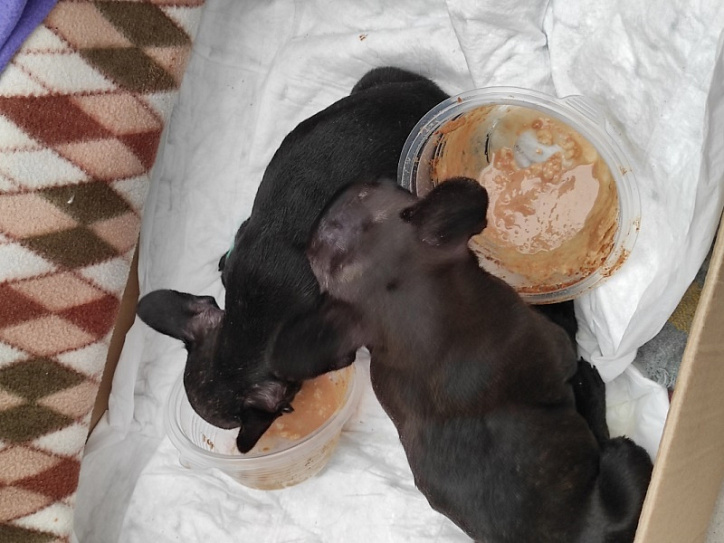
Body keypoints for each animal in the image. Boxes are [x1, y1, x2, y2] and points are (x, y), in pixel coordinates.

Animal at [271, 177, 652, 542]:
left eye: (363, 194)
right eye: (372, 189)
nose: (339, 192)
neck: (418, 321)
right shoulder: (554, 343)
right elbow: (567, 339)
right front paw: (564, 311)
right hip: (625, 459)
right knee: (604, 435)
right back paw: (591, 388)